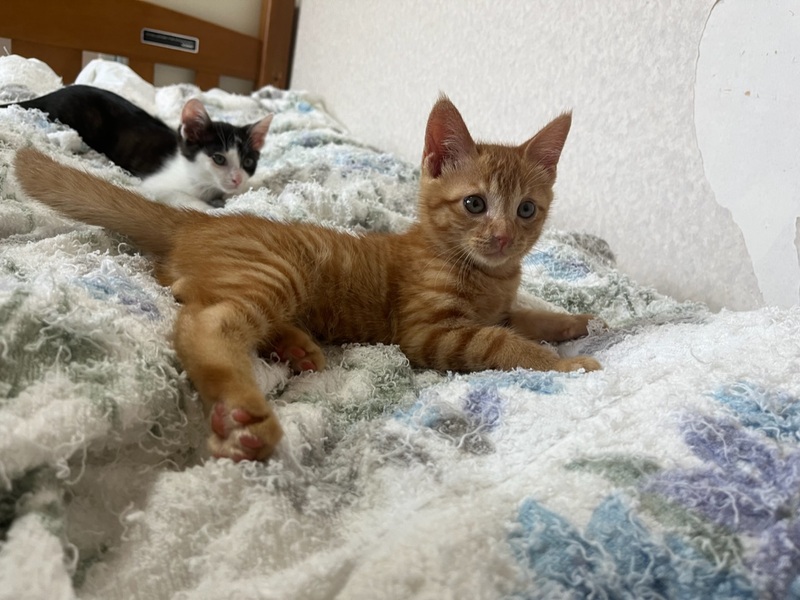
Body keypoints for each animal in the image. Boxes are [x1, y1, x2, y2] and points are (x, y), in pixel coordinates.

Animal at [3, 84, 272, 210]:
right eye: (218, 158)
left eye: (248, 162)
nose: (237, 179)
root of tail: (52, 94)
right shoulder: (156, 184)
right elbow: (183, 197)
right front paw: (215, 210)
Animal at [14, 95, 602, 463]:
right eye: (475, 204)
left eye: (526, 210)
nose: (503, 237)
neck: (485, 274)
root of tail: (197, 219)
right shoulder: (430, 333)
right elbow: (502, 341)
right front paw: (566, 363)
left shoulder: (501, 302)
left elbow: (523, 316)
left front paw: (570, 322)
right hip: (278, 271)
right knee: (206, 321)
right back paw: (246, 418)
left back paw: (296, 347)